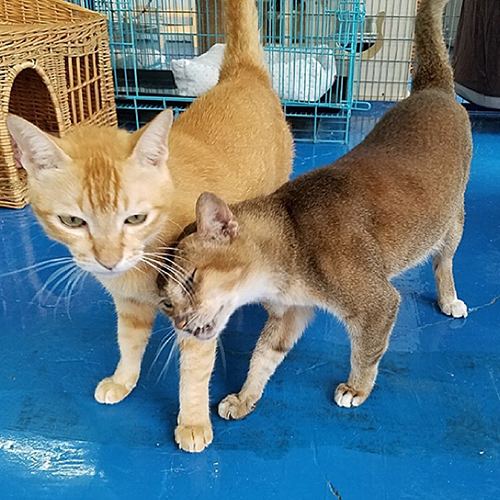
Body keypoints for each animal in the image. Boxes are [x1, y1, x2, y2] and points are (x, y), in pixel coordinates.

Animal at [6, 0, 292, 454]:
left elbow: (193, 372)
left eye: (135, 218)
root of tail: (241, 74)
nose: (108, 261)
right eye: (73, 221)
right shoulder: (129, 306)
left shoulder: (196, 315)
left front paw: (192, 421)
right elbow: (129, 342)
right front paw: (124, 379)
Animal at [158, 0, 470, 424]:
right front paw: (243, 397)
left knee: (444, 261)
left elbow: (366, 353)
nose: (182, 325)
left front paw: (356, 389)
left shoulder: (378, 304)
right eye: (166, 304)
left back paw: (449, 298)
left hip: (453, 221)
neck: (294, 233)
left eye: (191, 280)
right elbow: (262, 358)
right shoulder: (291, 313)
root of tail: (432, 88)